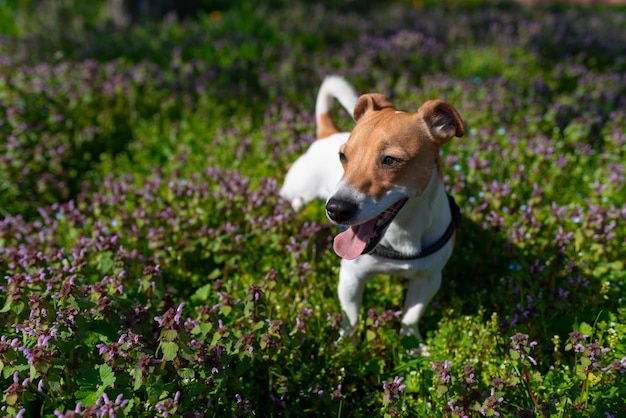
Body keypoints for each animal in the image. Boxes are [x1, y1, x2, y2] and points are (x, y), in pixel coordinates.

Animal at [280, 76, 460, 354]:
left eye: (390, 160)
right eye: (343, 156)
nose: (336, 209)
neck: (400, 235)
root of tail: (326, 134)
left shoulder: (428, 279)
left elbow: (411, 316)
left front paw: (412, 346)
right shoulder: (351, 277)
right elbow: (351, 317)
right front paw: (347, 346)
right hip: (295, 193)